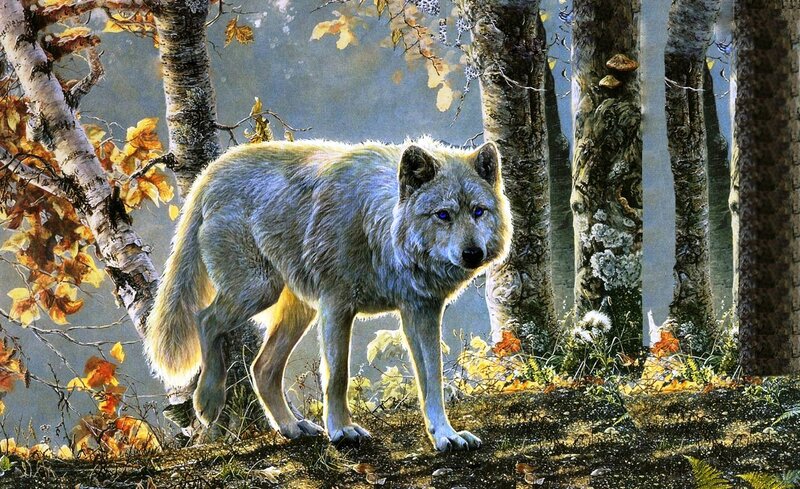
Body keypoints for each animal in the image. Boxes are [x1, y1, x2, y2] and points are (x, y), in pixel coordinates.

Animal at [143, 137, 512, 451]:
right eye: (443, 215)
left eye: (478, 211)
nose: (473, 254)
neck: (377, 227)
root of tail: (212, 172)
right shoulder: (337, 306)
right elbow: (337, 376)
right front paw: (341, 430)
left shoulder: (421, 311)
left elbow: (433, 378)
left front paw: (445, 435)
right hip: (258, 290)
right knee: (205, 319)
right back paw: (208, 401)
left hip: (297, 310)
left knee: (261, 368)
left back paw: (292, 427)